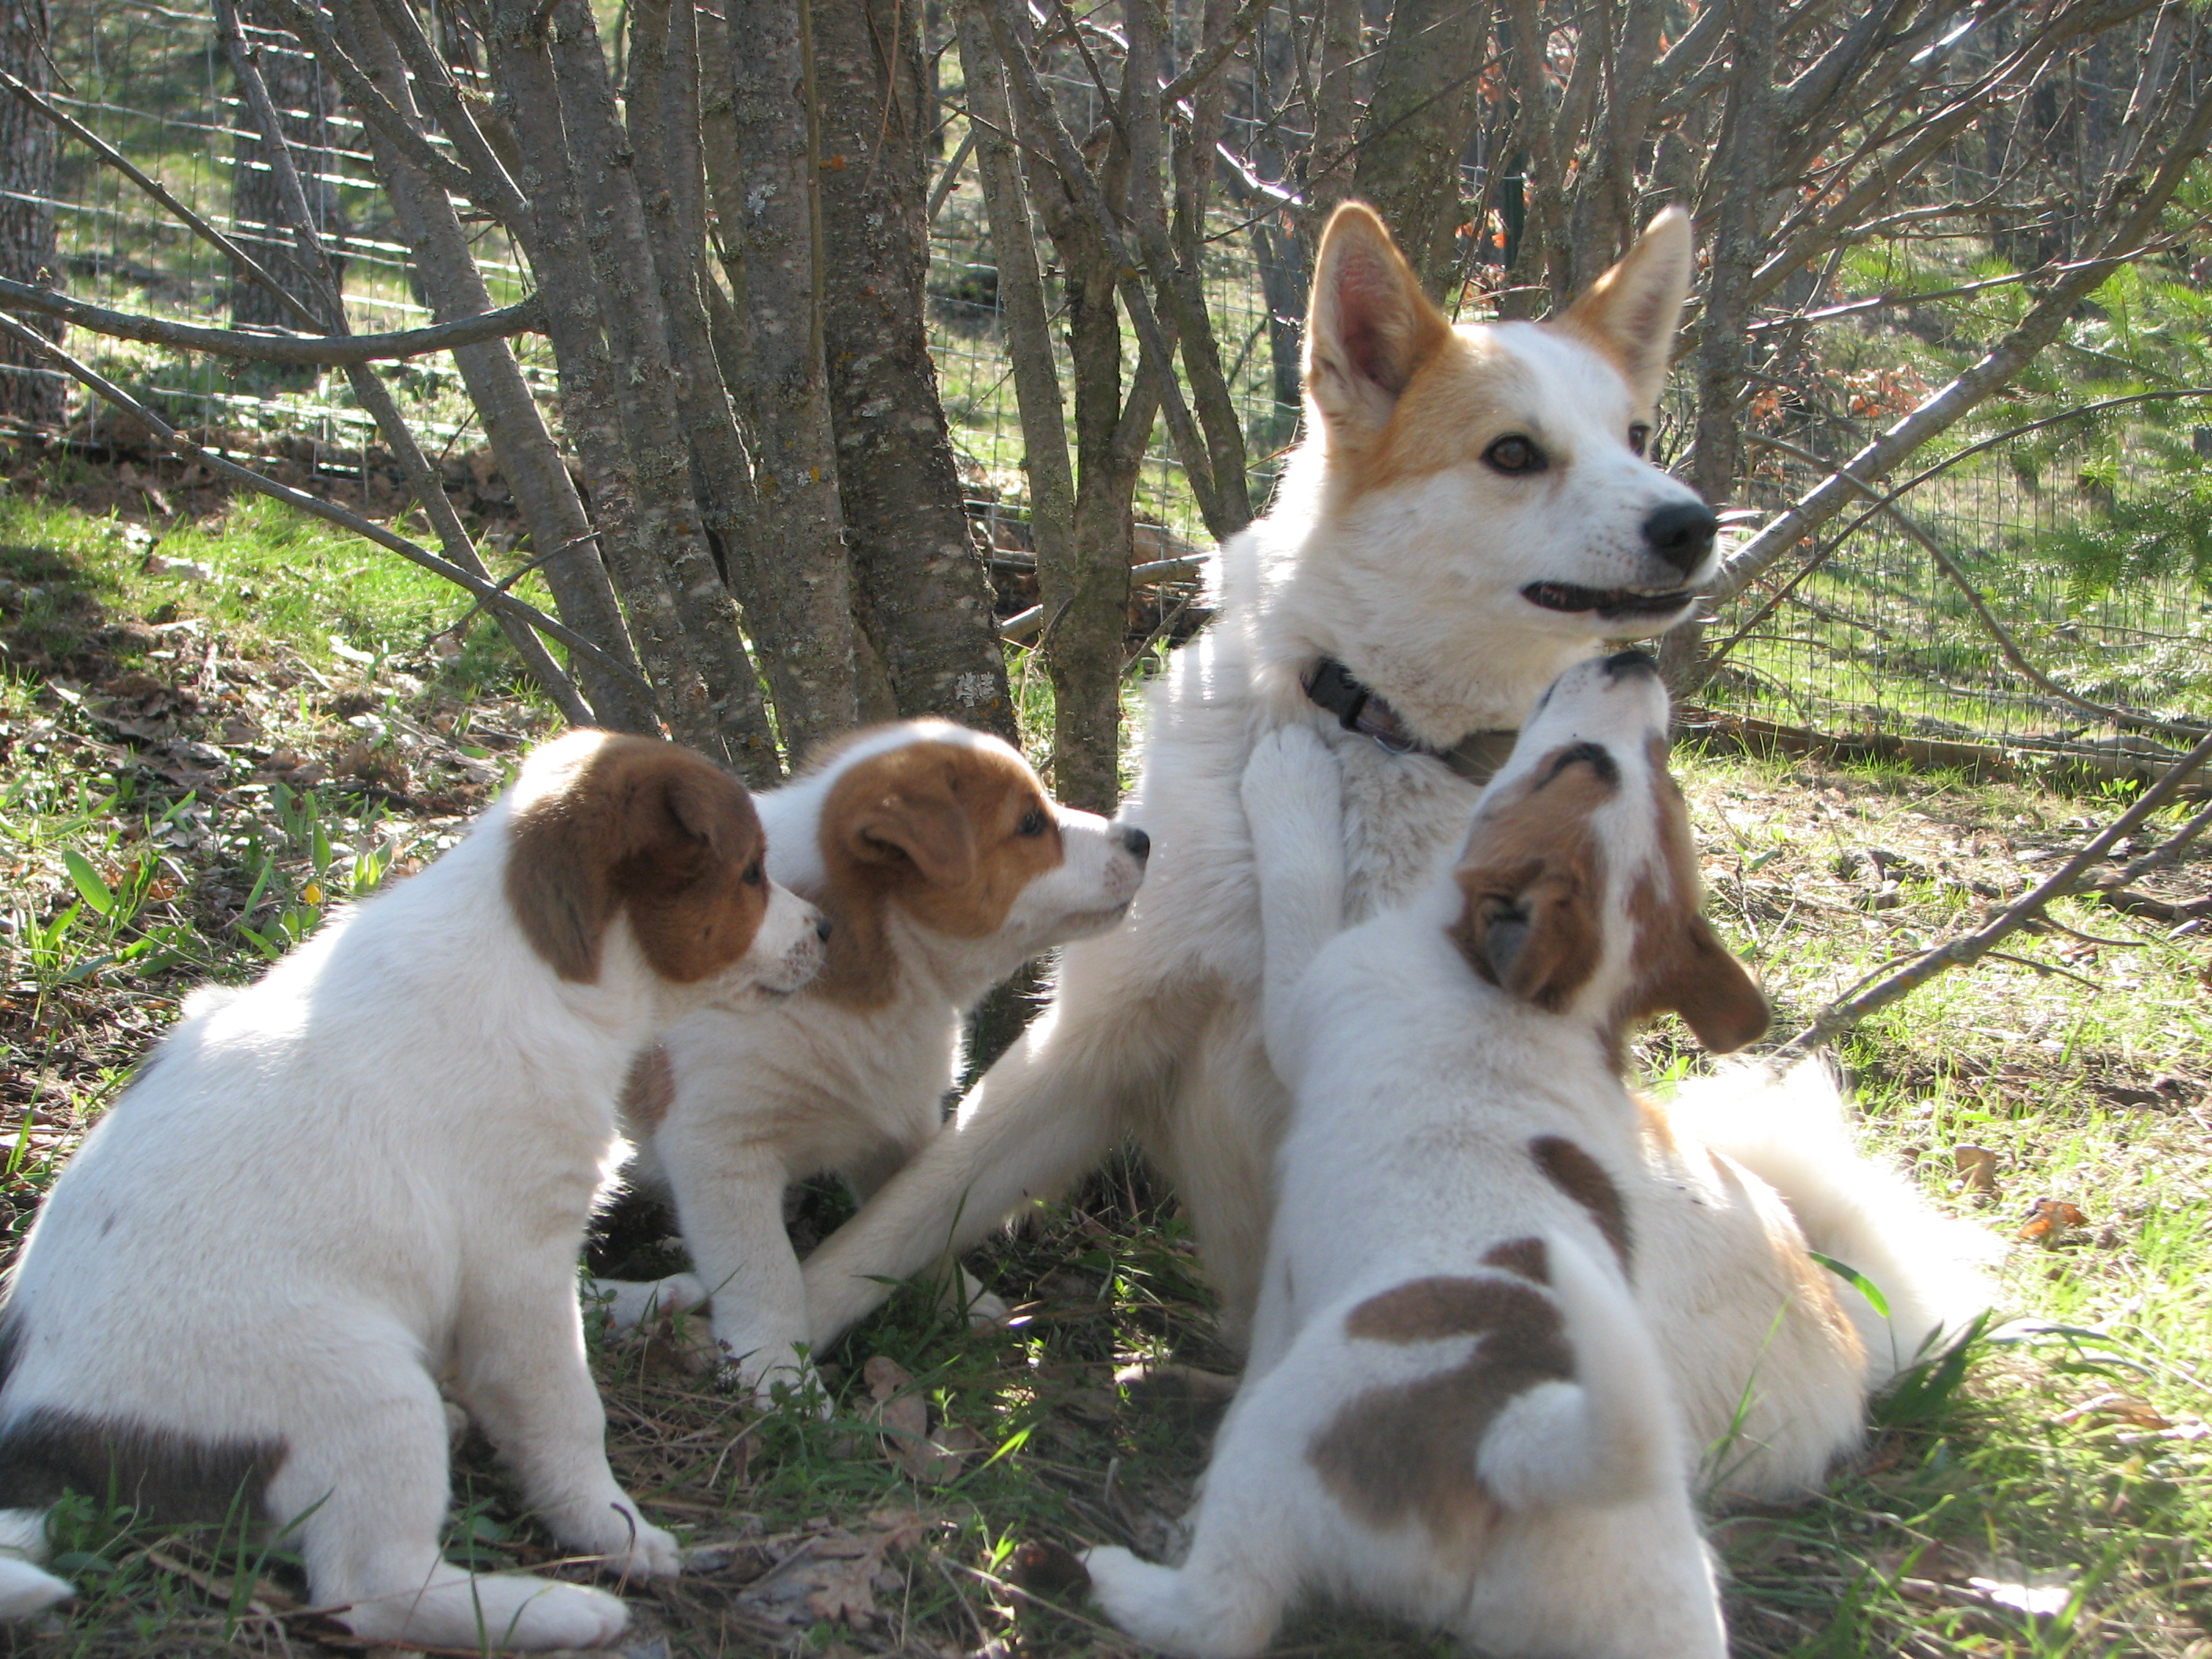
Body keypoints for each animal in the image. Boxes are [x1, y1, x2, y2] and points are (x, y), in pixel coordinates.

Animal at [0, 738, 827, 1654]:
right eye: (751, 873)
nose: (825, 929)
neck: (534, 962)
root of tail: (43, 1447)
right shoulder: (516, 1256)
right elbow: (565, 1411)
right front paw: (614, 1531)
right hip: (363, 1384)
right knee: (374, 1589)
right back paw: (558, 1610)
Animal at [597, 725, 1150, 1406]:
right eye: (1028, 824)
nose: (1142, 838)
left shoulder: (890, 1126)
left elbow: (913, 1224)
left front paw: (956, 1302)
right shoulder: (720, 1144)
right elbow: (763, 1273)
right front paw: (780, 1376)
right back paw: (641, 1302)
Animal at [805, 201, 1716, 1353]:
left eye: (1636, 438)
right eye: (1513, 453)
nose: (1691, 522)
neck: (1381, 737)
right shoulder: (1091, 1038)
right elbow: (893, 1221)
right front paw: (753, 1334)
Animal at [1083, 663, 1990, 1659]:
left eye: (1572, 762)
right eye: (1661, 779)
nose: (1634, 664)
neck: (1549, 1006)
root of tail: (1523, 1451)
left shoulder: (1309, 994)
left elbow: (1300, 881)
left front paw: (1290, 775)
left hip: (1277, 1449)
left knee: (1221, 1613)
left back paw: (1120, 1578)